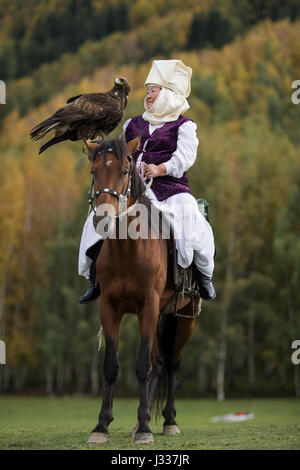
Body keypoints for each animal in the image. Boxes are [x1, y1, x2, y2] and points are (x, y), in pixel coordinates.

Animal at [84, 134, 202, 442]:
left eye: (125, 172)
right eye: (94, 172)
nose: (103, 219)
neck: (128, 249)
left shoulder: (148, 306)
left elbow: (141, 366)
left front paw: (147, 429)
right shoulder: (110, 308)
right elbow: (111, 366)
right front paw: (101, 426)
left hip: (184, 318)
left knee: (171, 362)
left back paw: (168, 420)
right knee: (158, 362)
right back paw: (143, 419)